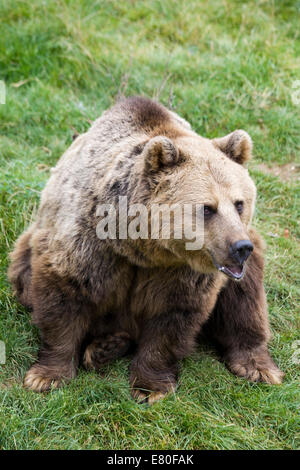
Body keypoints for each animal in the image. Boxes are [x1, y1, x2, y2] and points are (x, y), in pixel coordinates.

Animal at [7, 96, 284, 404]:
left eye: (239, 203)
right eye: (207, 208)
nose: (240, 247)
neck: (144, 247)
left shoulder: (180, 271)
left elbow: (172, 317)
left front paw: (150, 387)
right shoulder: (90, 242)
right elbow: (65, 294)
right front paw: (47, 376)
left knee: (245, 297)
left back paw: (256, 366)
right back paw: (105, 347)